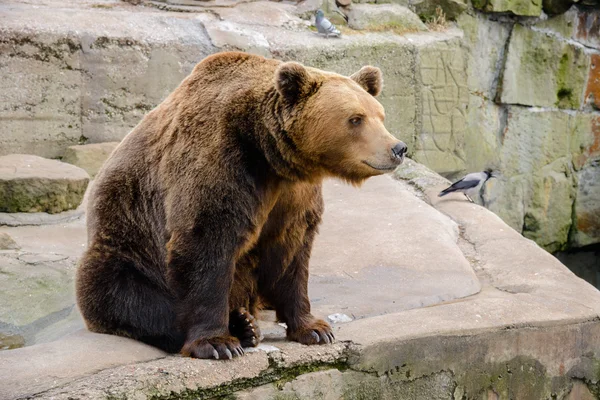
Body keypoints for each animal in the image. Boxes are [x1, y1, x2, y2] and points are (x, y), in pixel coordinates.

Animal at [76, 50, 408, 360]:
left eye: (380, 115)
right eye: (355, 119)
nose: (398, 148)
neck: (271, 156)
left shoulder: (293, 196)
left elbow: (292, 252)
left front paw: (314, 328)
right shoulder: (222, 164)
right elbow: (204, 246)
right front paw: (217, 343)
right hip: (126, 246)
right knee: (128, 295)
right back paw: (241, 325)